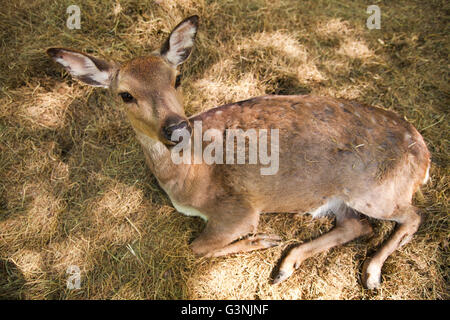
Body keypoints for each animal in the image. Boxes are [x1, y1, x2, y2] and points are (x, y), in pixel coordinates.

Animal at [47, 15, 430, 290]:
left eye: (177, 78)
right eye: (125, 94)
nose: (176, 127)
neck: (189, 179)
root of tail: (424, 155)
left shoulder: (238, 210)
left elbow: (196, 247)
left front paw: (261, 239)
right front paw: (267, 241)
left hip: (376, 190)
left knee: (411, 216)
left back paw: (371, 274)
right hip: (339, 198)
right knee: (357, 225)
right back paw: (285, 265)